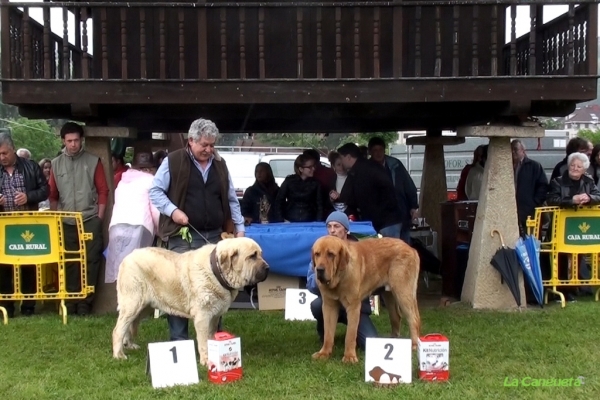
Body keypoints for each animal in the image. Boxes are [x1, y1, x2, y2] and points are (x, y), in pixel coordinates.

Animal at [112, 238, 270, 366]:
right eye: (252, 256)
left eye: (260, 254)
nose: (268, 268)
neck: (216, 271)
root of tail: (128, 256)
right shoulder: (202, 317)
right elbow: (203, 341)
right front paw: (206, 360)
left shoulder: (214, 316)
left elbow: (210, 337)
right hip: (133, 303)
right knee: (118, 329)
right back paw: (119, 355)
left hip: (144, 307)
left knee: (130, 324)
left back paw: (129, 344)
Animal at [312, 236, 420, 364]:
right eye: (317, 254)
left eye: (330, 254)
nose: (319, 269)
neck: (339, 279)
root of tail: (411, 248)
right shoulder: (329, 306)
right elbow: (328, 333)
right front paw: (324, 353)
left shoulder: (353, 306)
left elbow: (350, 334)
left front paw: (349, 357)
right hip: (389, 295)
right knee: (396, 317)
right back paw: (393, 340)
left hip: (402, 292)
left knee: (413, 319)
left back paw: (414, 345)